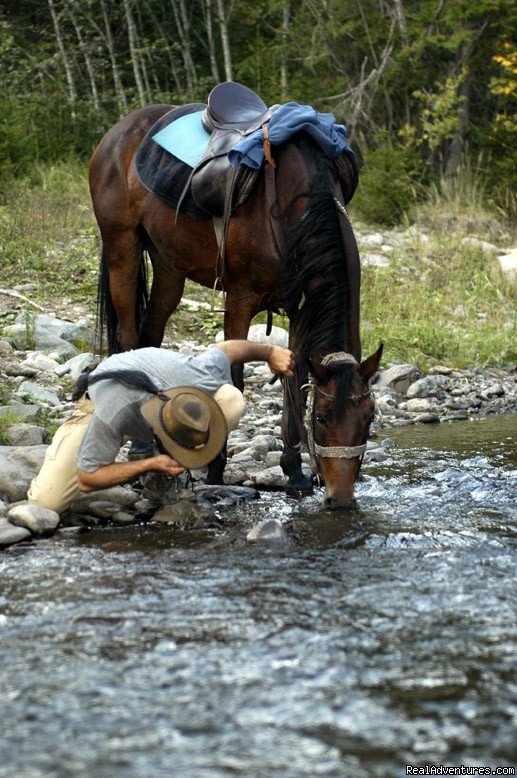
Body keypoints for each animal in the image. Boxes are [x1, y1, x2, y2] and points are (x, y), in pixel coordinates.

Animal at [88, 95, 380, 510]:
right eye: (322, 418)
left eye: (368, 420)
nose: (340, 500)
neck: (295, 206)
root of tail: (118, 131)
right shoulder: (240, 301)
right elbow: (235, 379)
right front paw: (215, 471)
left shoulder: (299, 308)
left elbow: (293, 379)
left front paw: (294, 471)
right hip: (121, 250)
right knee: (127, 339)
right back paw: (141, 446)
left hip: (169, 265)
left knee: (150, 337)